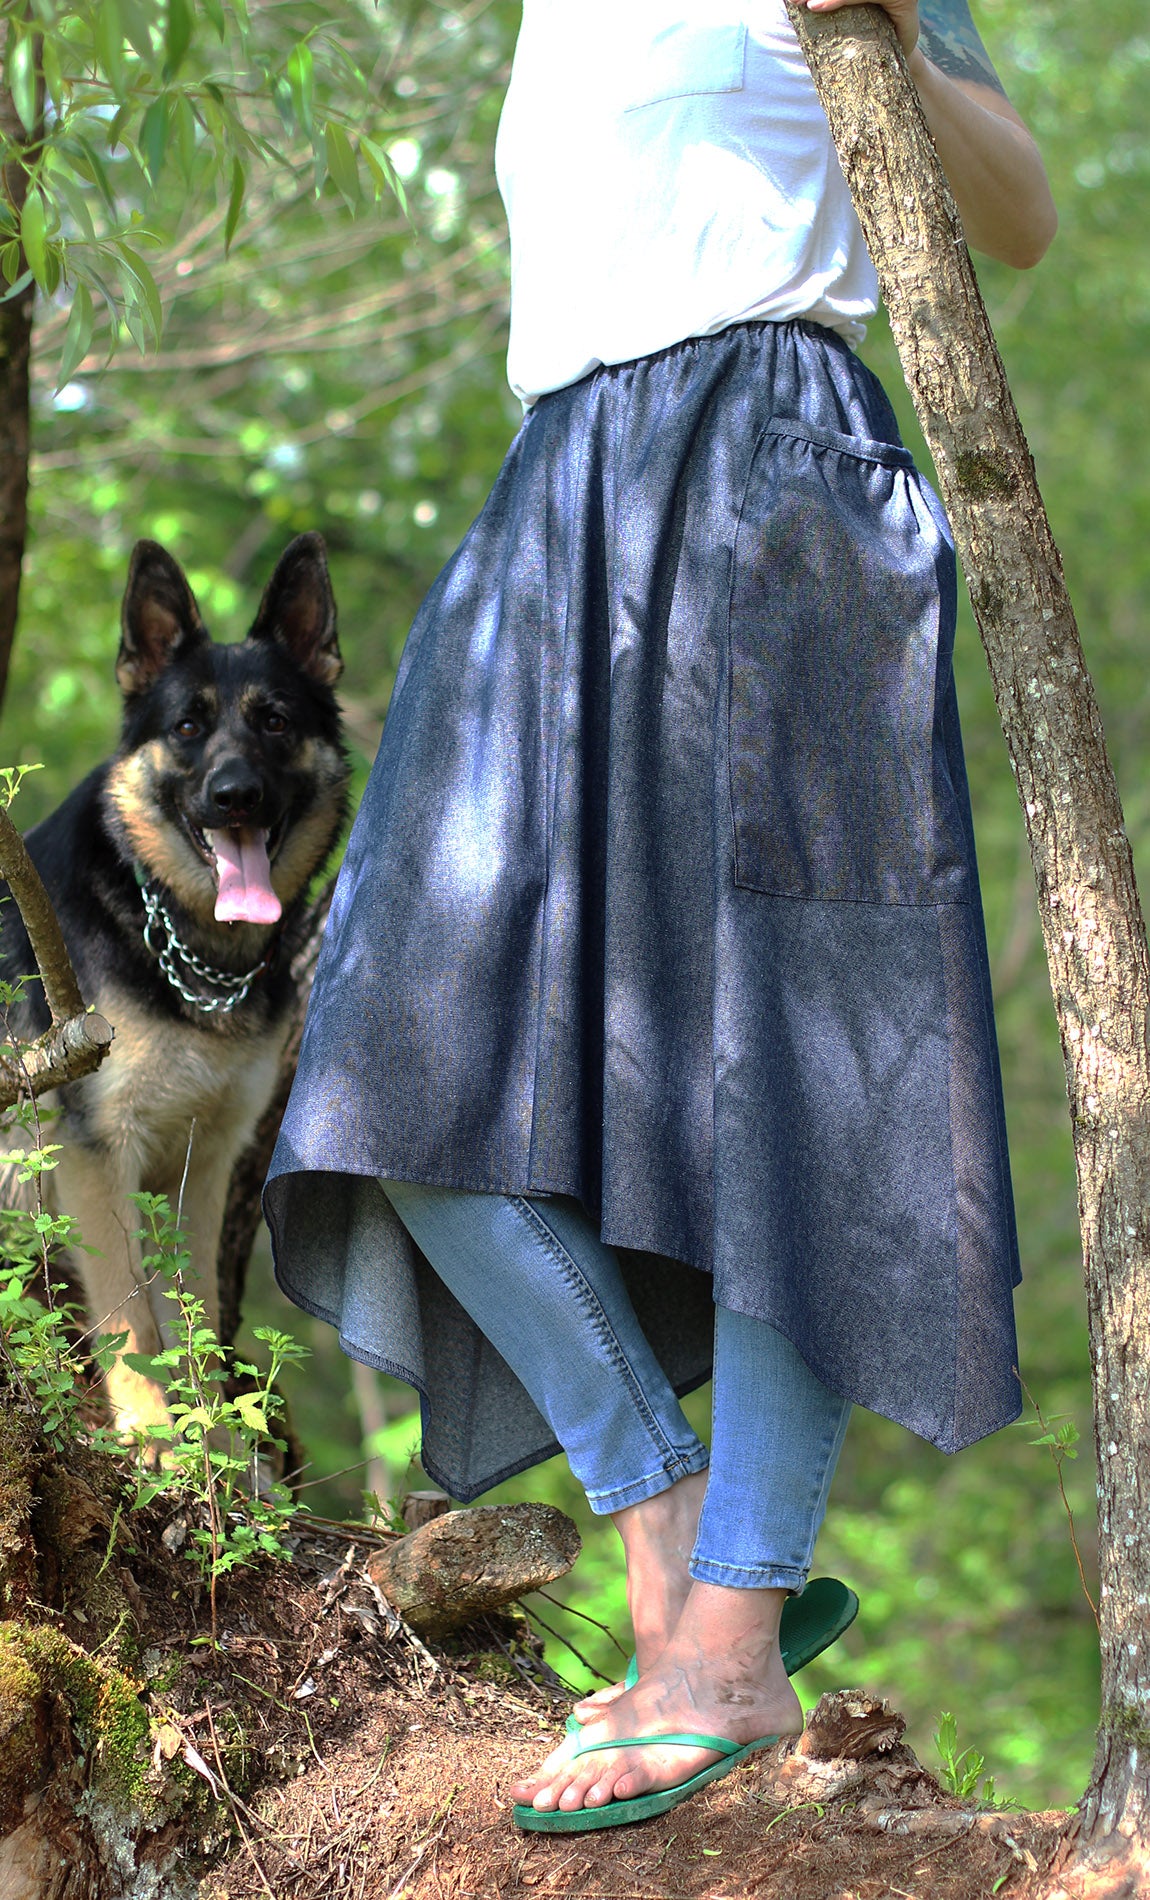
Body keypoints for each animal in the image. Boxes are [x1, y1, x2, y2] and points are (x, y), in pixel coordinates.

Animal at [0, 528, 349, 1428]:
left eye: (275, 722)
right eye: (188, 726)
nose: (235, 796)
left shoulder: (201, 1164)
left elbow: (195, 1318)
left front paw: (218, 1442)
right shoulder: (95, 1151)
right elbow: (131, 1314)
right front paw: (155, 1432)